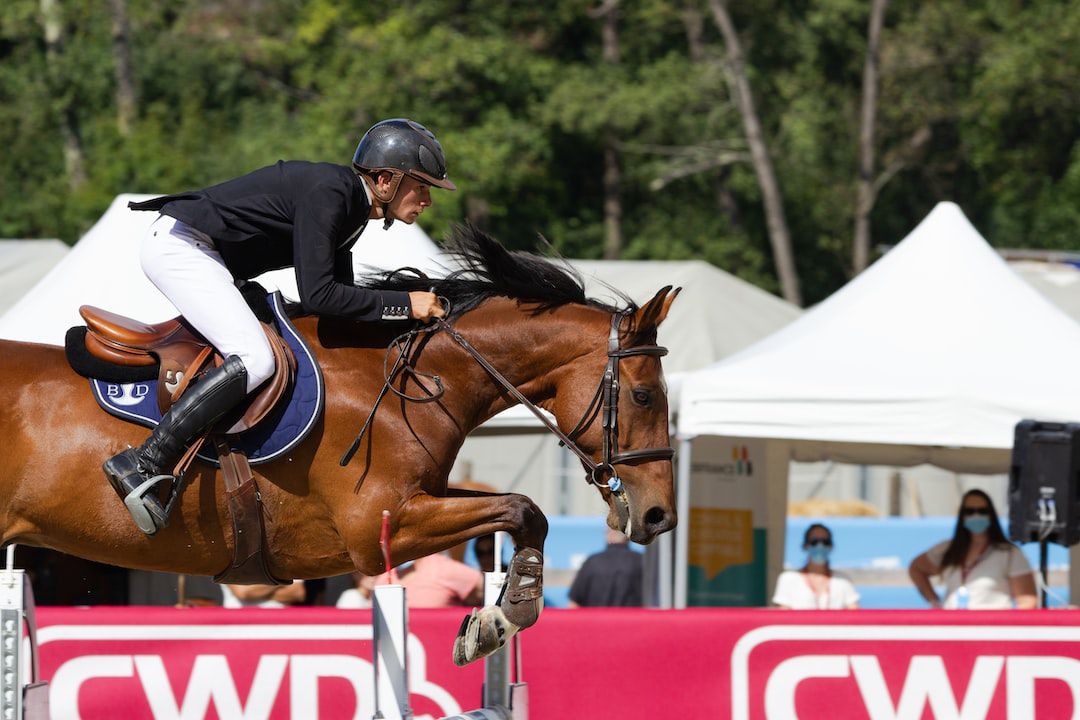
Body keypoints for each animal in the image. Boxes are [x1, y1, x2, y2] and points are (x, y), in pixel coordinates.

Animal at [0, 226, 679, 663]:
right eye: (645, 396)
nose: (659, 516)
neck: (409, 379)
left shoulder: (422, 499)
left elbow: (523, 512)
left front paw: (492, 622)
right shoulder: (379, 528)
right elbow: (521, 507)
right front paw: (503, 618)